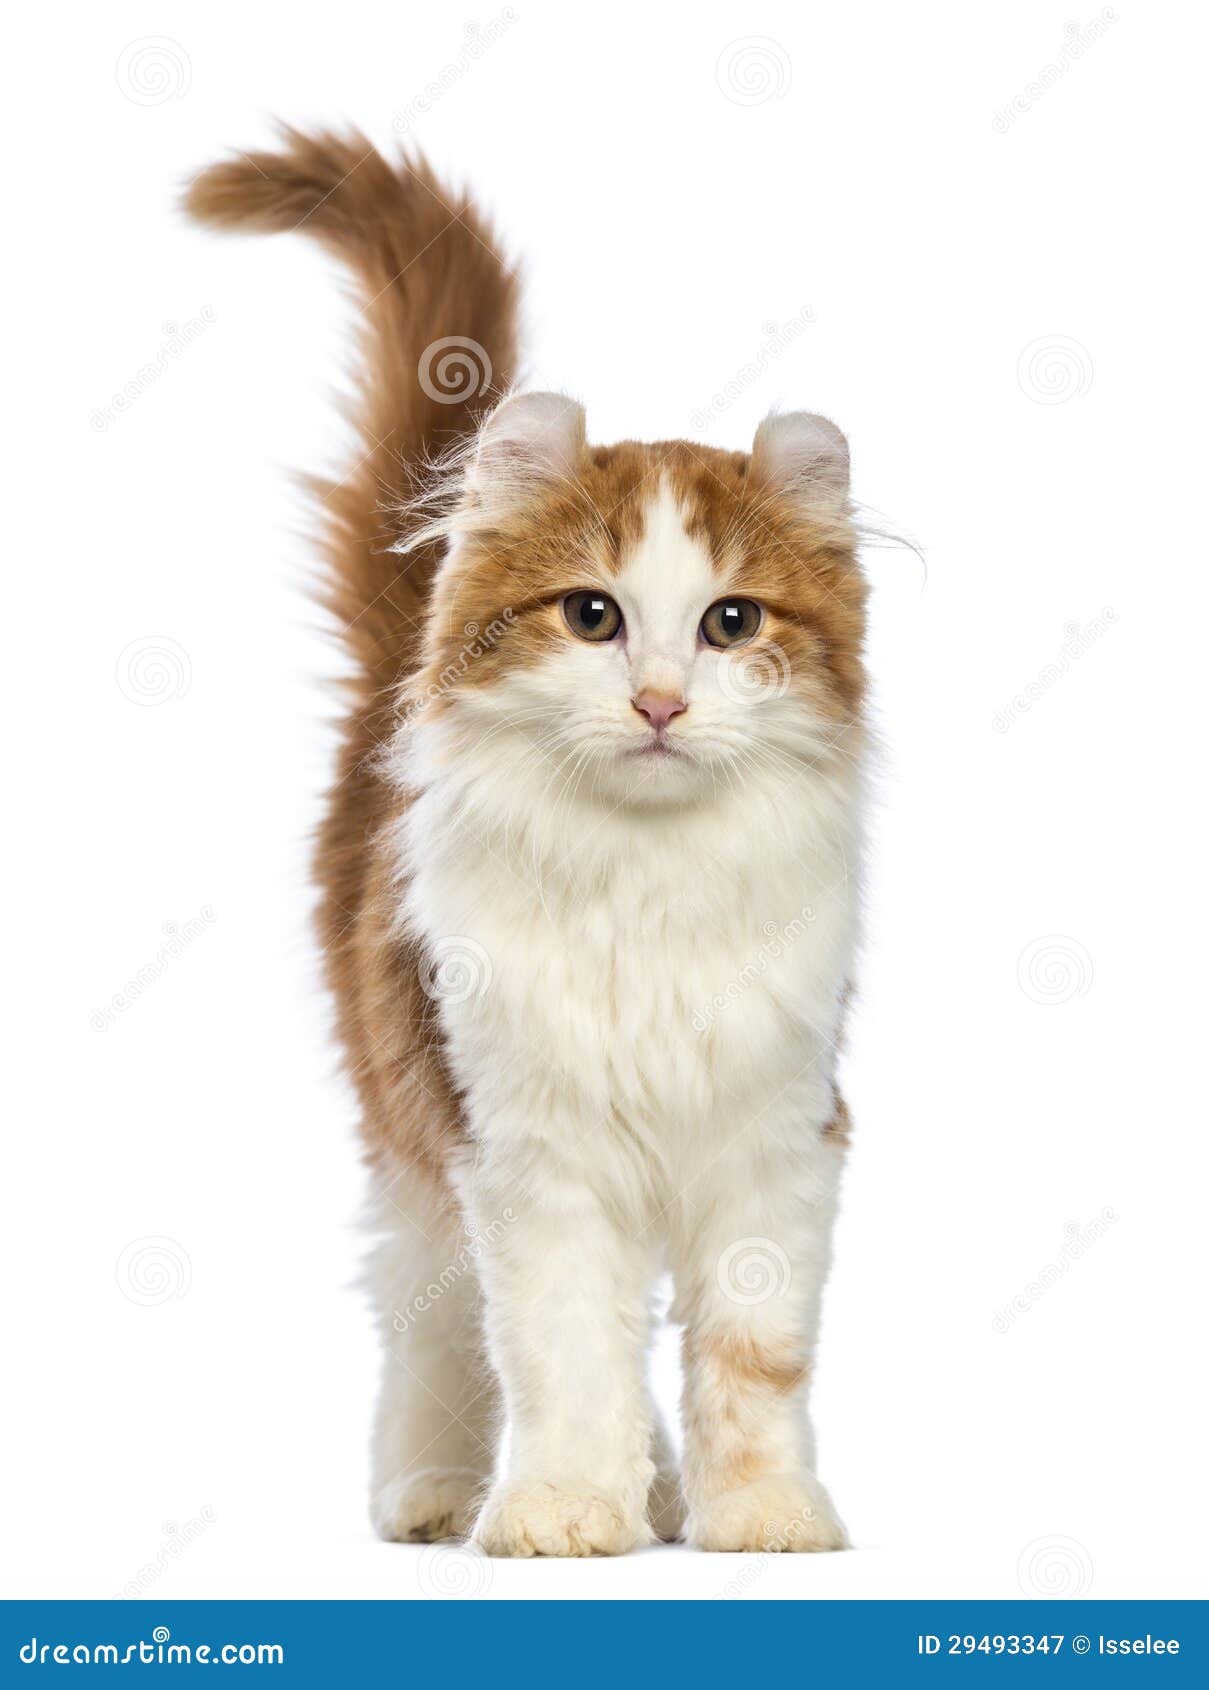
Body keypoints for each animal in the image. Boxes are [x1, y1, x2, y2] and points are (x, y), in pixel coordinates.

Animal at [186, 131, 872, 1554]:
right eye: (592, 616)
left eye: (731, 623)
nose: (660, 702)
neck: (647, 878)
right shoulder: (522, 1148)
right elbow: (561, 1348)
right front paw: (561, 1507)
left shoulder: (780, 1139)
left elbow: (751, 1354)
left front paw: (760, 1510)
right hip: (411, 1125)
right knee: (431, 1316)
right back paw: (438, 1490)